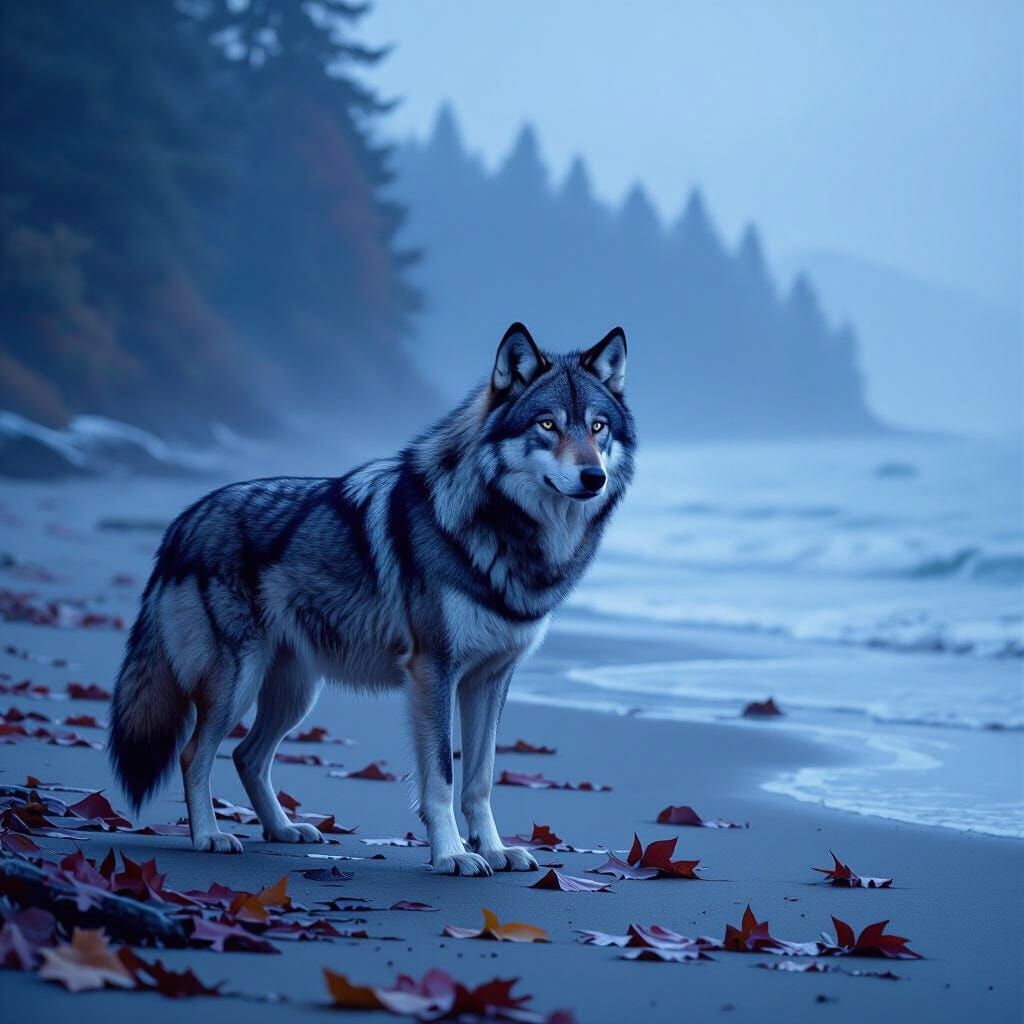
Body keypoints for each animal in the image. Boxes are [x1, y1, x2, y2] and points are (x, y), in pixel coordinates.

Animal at [108, 323, 635, 875]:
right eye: (548, 425)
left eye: (598, 428)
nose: (594, 477)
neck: (508, 533)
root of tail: (182, 521)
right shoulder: (433, 671)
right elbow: (442, 777)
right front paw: (452, 854)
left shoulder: (490, 679)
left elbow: (482, 779)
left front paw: (493, 849)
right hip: (239, 683)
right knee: (195, 754)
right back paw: (209, 836)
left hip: (295, 694)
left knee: (246, 755)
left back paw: (283, 829)